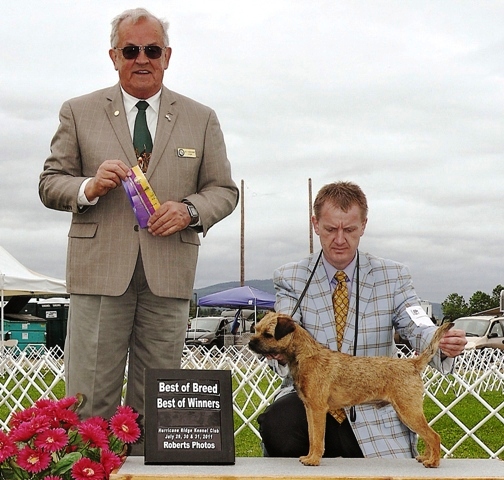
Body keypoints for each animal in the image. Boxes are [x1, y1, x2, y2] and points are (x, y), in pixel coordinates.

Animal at [250, 310, 450, 466]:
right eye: (256, 329)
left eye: (267, 334)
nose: (250, 343)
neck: (305, 355)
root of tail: (412, 363)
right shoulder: (310, 409)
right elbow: (312, 436)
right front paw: (309, 456)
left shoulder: (317, 409)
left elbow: (318, 438)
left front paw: (313, 459)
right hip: (407, 412)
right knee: (427, 435)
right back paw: (424, 457)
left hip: (408, 410)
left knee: (433, 436)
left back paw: (433, 462)